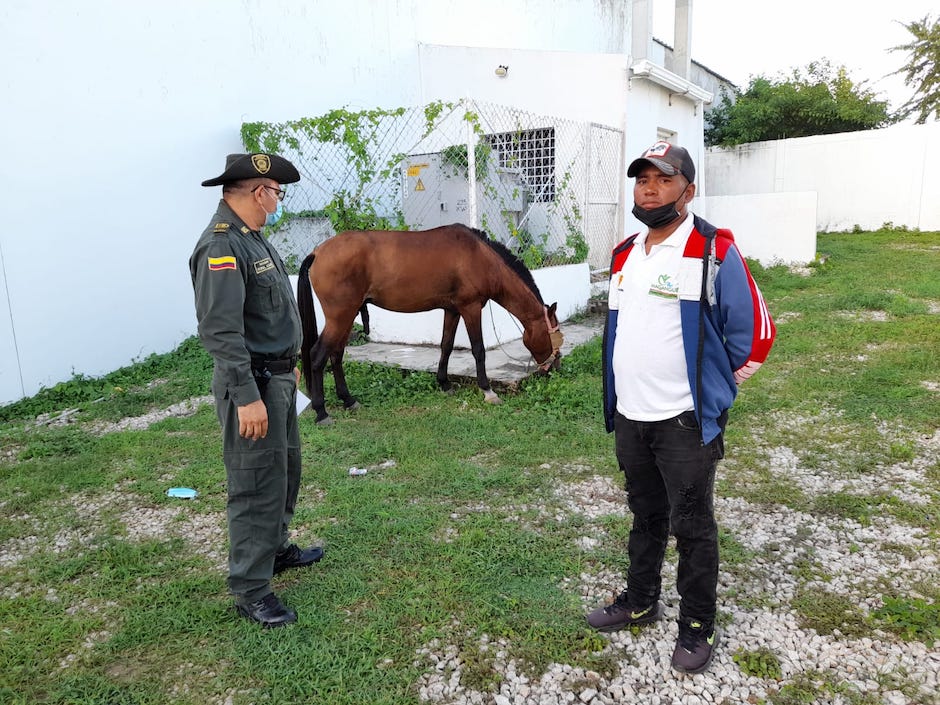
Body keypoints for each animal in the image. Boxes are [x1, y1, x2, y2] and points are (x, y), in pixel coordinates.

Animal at [298, 224, 560, 424]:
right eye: (555, 335)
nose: (556, 367)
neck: (479, 256)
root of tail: (318, 252)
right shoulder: (471, 308)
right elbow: (478, 350)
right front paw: (487, 390)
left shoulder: (452, 310)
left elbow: (446, 345)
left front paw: (444, 383)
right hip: (340, 316)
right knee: (318, 355)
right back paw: (321, 412)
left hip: (347, 316)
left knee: (336, 355)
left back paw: (349, 400)